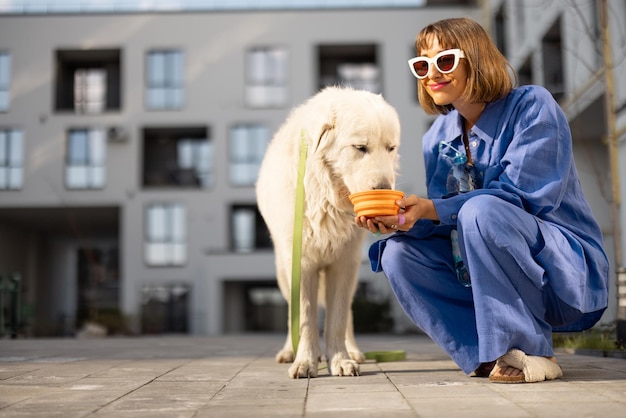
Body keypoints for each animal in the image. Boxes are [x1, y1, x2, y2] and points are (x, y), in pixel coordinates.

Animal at [258, 85, 400, 378]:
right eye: (360, 148)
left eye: (390, 148)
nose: (384, 188)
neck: (326, 196)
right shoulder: (301, 263)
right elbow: (305, 317)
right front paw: (305, 362)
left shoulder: (343, 263)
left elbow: (337, 317)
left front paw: (341, 360)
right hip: (283, 273)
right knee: (291, 313)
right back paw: (290, 351)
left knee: (348, 314)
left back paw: (353, 352)